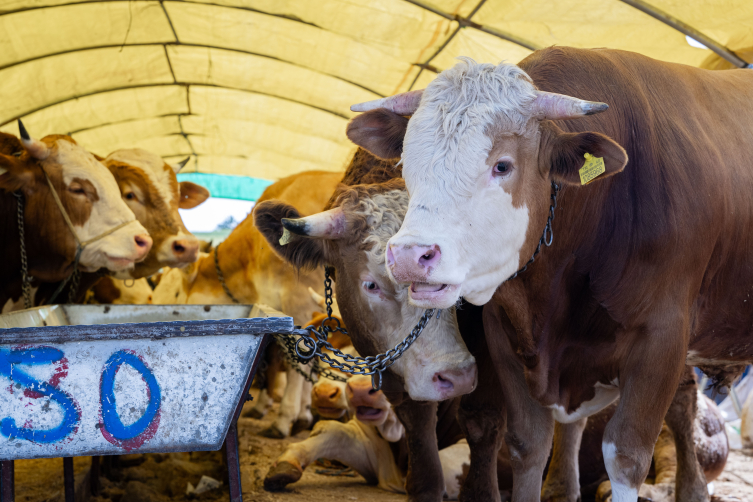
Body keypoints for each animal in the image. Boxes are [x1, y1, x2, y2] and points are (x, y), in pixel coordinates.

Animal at [348, 45, 752, 500]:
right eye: (406, 162)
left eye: (503, 166)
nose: (408, 255)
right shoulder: (505, 335)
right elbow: (528, 444)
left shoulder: (662, 338)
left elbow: (626, 455)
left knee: (682, 408)